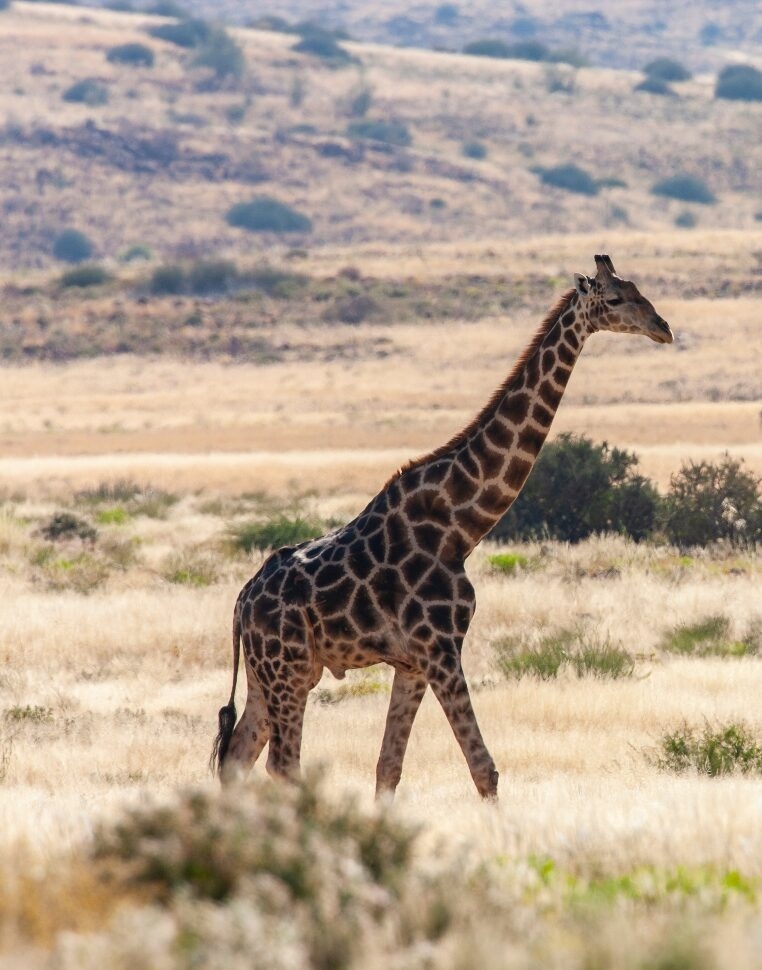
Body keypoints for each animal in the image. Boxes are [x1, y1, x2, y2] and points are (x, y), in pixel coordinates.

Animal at [211, 255, 672, 799]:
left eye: (640, 290)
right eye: (617, 298)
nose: (663, 328)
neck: (460, 526)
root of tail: (242, 602)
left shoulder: (413, 662)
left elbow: (389, 766)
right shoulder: (441, 647)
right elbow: (483, 768)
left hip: (272, 673)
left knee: (237, 755)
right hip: (289, 668)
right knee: (282, 764)